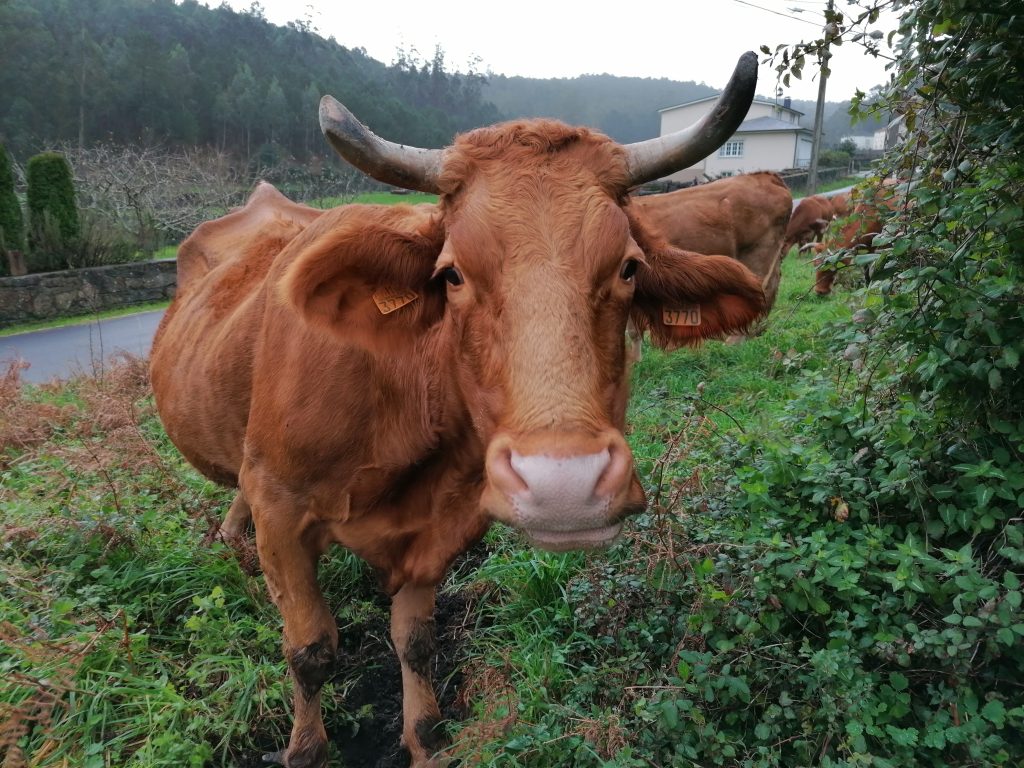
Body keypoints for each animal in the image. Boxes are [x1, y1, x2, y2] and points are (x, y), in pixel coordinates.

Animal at [149, 53, 765, 768]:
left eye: (630, 268)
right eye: (452, 274)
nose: (565, 486)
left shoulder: (444, 526)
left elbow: (416, 644)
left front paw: (423, 739)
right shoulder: (279, 503)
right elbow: (310, 650)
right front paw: (304, 747)